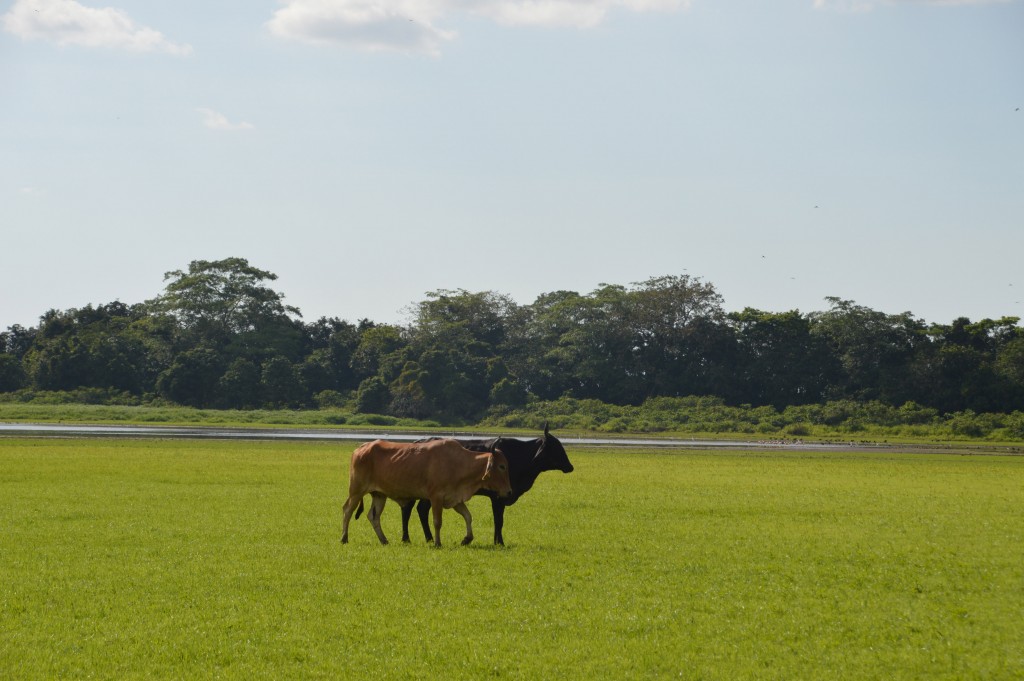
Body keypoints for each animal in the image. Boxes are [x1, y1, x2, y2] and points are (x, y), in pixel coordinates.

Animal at [339, 436, 512, 548]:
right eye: (502, 466)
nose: (509, 492)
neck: (458, 463)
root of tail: (361, 448)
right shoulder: (436, 497)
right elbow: (437, 522)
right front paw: (437, 543)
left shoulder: (455, 499)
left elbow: (468, 516)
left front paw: (467, 539)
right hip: (356, 490)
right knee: (347, 510)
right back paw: (344, 538)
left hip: (379, 495)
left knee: (373, 516)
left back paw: (384, 540)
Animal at [401, 421, 577, 544]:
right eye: (556, 447)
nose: (570, 466)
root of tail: (418, 441)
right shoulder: (498, 496)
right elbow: (499, 520)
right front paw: (499, 542)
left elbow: (499, 520)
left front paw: (497, 541)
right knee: (411, 509)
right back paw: (413, 538)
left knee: (418, 509)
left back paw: (425, 538)